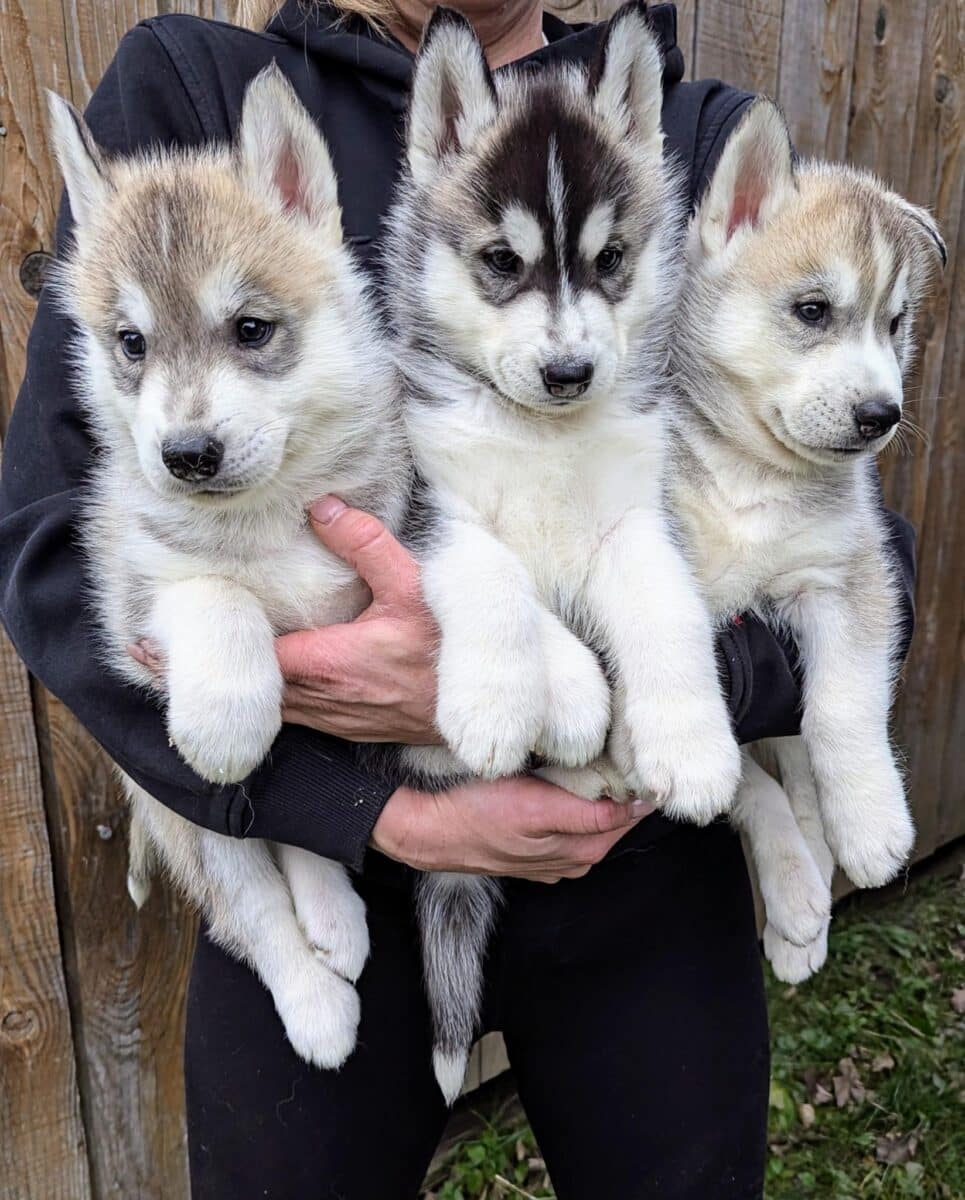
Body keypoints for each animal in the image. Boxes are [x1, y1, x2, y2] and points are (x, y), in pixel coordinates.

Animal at [47, 68, 408, 1070]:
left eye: (250, 329)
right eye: (131, 344)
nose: (187, 455)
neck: (264, 515)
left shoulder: (349, 623)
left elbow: (318, 789)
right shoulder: (134, 601)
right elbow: (210, 597)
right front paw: (224, 718)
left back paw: (335, 922)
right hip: (186, 816)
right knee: (250, 905)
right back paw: (316, 1004)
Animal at [384, 2, 739, 1104]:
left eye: (610, 258)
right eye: (502, 262)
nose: (570, 371)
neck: (541, 435)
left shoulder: (634, 520)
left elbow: (666, 614)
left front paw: (689, 745)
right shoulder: (433, 515)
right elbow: (502, 584)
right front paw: (532, 700)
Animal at [667, 100, 945, 984]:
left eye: (894, 325)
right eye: (813, 310)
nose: (881, 415)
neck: (750, 475)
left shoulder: (849, 576)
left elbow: (839, 709)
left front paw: (869, 821)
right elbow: (741, 780)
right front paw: (790, 879)